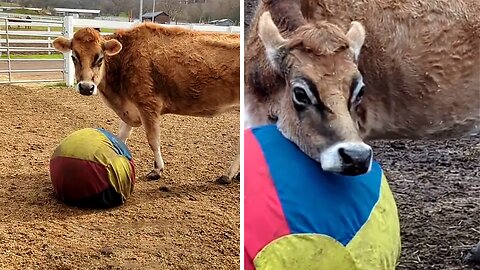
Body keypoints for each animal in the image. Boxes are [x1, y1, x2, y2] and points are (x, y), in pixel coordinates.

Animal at [53, 22, 240, 184]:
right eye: (74, 57)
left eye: (100, 58)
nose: (86, 87)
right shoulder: (130, 109)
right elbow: (120, 137)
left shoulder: (148, 105)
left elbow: (153, 139)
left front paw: (157, 170)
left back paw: (228, 175)